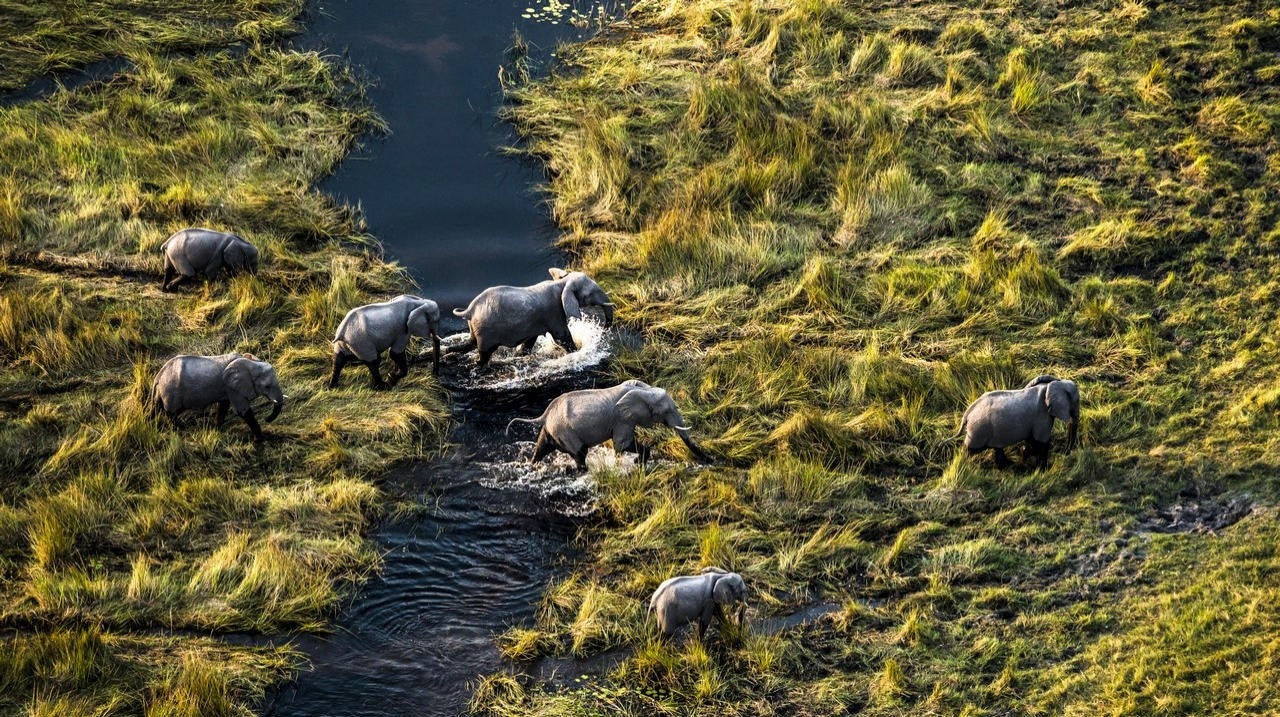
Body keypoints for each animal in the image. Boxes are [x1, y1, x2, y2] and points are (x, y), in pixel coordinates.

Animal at [151, 353, 284, 443]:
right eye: (267, 386)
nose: (267, 419)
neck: (250, 363)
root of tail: (159, 376)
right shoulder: (232, 387)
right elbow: (242, 410)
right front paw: (259, 440)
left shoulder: (227, 388)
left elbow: (223, 405)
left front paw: (216, 429)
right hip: (171, 392)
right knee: (171, 413)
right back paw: (180, 429)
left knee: (157, 408)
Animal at [445, 267, 614, 368]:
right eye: (591, 294)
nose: (605, 329)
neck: (562, 282)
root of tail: (469, 310)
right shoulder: (553, 312)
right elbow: (561, 336)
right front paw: (576, 353)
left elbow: (531, 339)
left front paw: (521, 355)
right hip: (486, 330)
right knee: (484, 352)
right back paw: (479, 366)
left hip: (476, 327)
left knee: (471, 343)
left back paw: (448, 353)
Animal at [506, 378, 711, 473]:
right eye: (667, 410)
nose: (709, 459)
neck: (645, 389)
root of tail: (544, 415)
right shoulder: (622, 419)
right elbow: (622, 444)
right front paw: (624, 464)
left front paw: (637, 463)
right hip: (565, 431)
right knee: (580, 453)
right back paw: (580, 471)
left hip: (553, 430)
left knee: (542, 447)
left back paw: (531, 466)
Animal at [952, 376, 1080, 471]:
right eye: (1077, 401)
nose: (1065, 453)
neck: (1053, 385)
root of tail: (968, 412)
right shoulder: (1042, 416)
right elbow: (1041, 442)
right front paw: (1043, 470)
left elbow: (1033, 441)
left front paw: (1025, 456)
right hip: (978, 430)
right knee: (970, 450)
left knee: (997, 449)